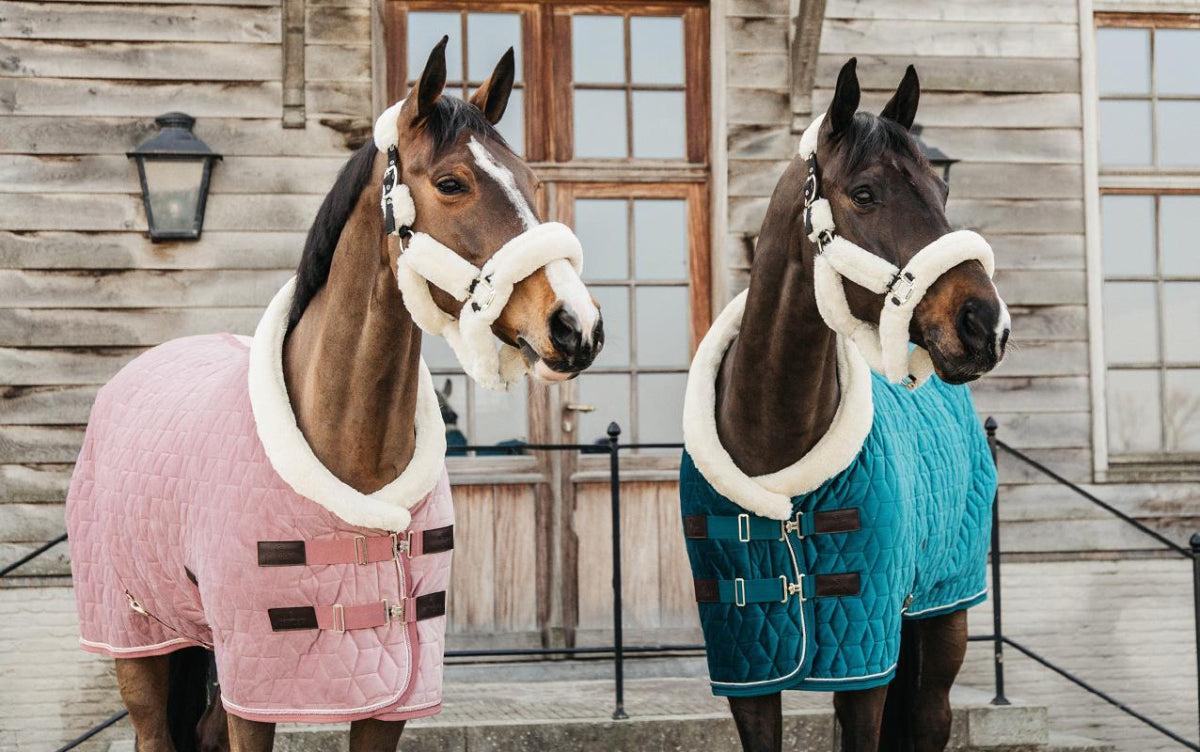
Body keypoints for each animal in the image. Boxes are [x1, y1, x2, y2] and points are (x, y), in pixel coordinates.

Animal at [65, 38, 602, 752]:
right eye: (452, 182)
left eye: (533, 183)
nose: (576, 324)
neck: (350, 449)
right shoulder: (254, 693)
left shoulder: (388, 700)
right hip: (141, 646)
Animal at [678, 58, 1010, 752]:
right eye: (864, 194)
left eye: (942, 192)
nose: (985, 325)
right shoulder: (749, 664)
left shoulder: (865, 664)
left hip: (943, 616)